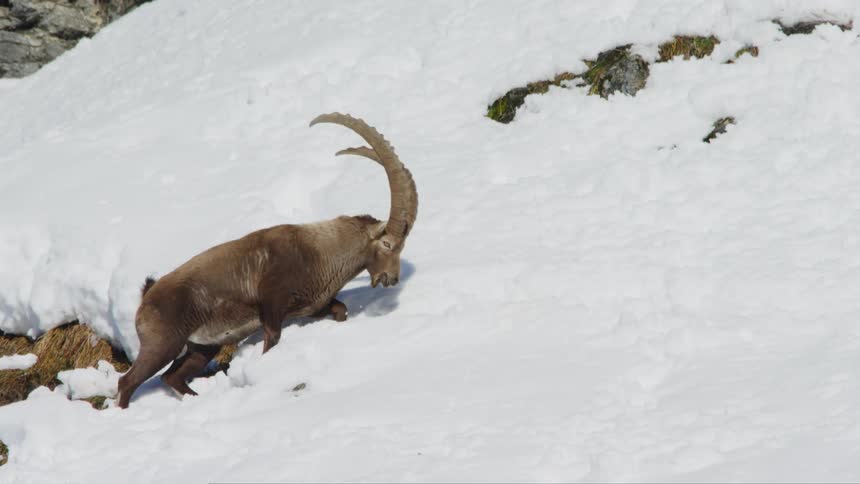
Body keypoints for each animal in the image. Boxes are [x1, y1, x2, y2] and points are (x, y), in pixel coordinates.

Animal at [116, 113, 418, 408]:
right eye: (388, 244)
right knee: (128, 382)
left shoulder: (311, 306)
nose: (392, 278)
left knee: (172, 377)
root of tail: (146, 298)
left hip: (202, 347)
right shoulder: (272, 305)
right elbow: (272, 338)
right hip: (163, 343)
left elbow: (340, 310)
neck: (321, 252)